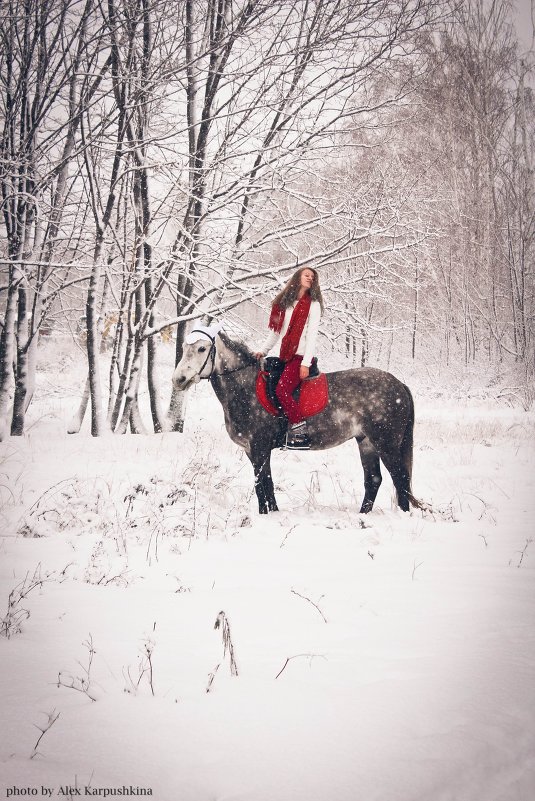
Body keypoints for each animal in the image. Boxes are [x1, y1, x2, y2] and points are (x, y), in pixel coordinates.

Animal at [172, 328, 422, 516]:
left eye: (202, 348)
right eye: (184, 347)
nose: (178, 379)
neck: (246, 388)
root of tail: (399, 384)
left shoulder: (260, 449)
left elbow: (262, 484)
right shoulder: (252, 451)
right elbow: (266, 484)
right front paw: (272, 513)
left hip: (386, 444)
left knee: (400, 478)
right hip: (367, 443)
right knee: (374, 480)